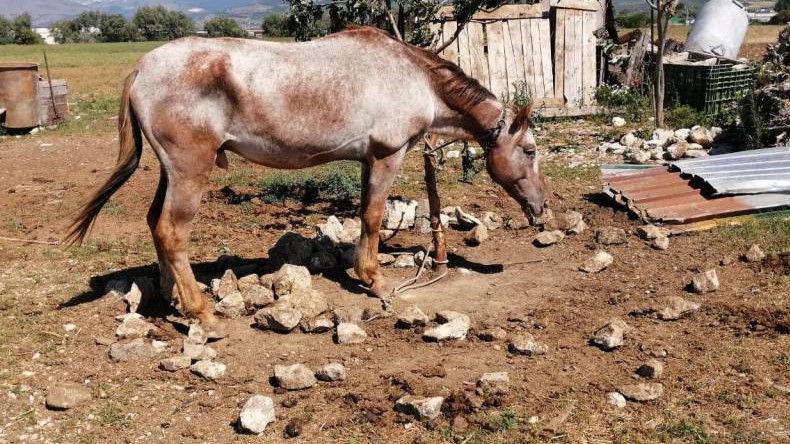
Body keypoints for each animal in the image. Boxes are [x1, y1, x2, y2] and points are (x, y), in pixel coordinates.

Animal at [66, 26, 547, 337]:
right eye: (529, 151)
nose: (541, 208)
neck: (415, 78)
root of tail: (143, 66)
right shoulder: (387, 155)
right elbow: (374, 216)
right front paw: (375, 281)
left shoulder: (367, 159)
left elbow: (365, 214)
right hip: (189, 170)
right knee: (171, 230)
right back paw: (203, 313)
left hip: (172, 171)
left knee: (156, 224)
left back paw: (174, 297)